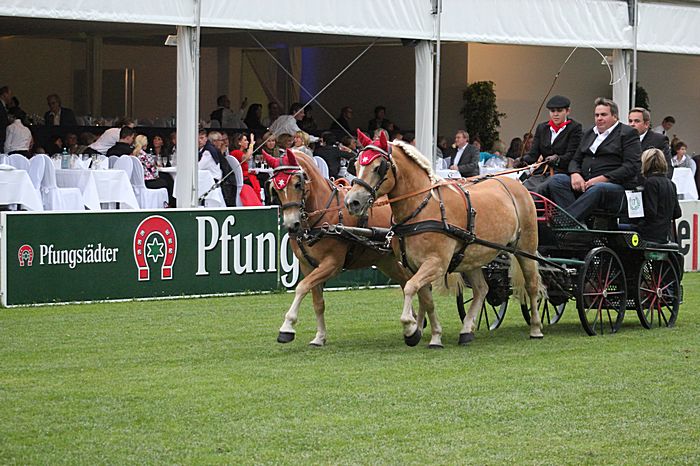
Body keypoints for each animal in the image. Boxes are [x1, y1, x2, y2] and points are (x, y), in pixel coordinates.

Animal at [270, 149, 436, 347]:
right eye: (275, 188)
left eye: (297, 184)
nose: (291, 225)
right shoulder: (307, 265)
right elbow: (318, 302)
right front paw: (319, 337)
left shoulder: (332, 264)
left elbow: (301, 287)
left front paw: (287, 327)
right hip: (386, 261)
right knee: (407, 282)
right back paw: (416, 321)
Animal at [345, 130, 544, 344]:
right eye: (356, 165)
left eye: (378, 168)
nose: (352, 202)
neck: (422, 208)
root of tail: (516, 184)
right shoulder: (414, 266)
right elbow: (426, 299)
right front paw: (433, 336)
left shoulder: (437, 263)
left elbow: (410, 287)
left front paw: (409, 327)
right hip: (472, 256)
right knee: (481, 289)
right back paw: (466, 330)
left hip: (525, 248)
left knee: (532, 285)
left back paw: (535, 328)